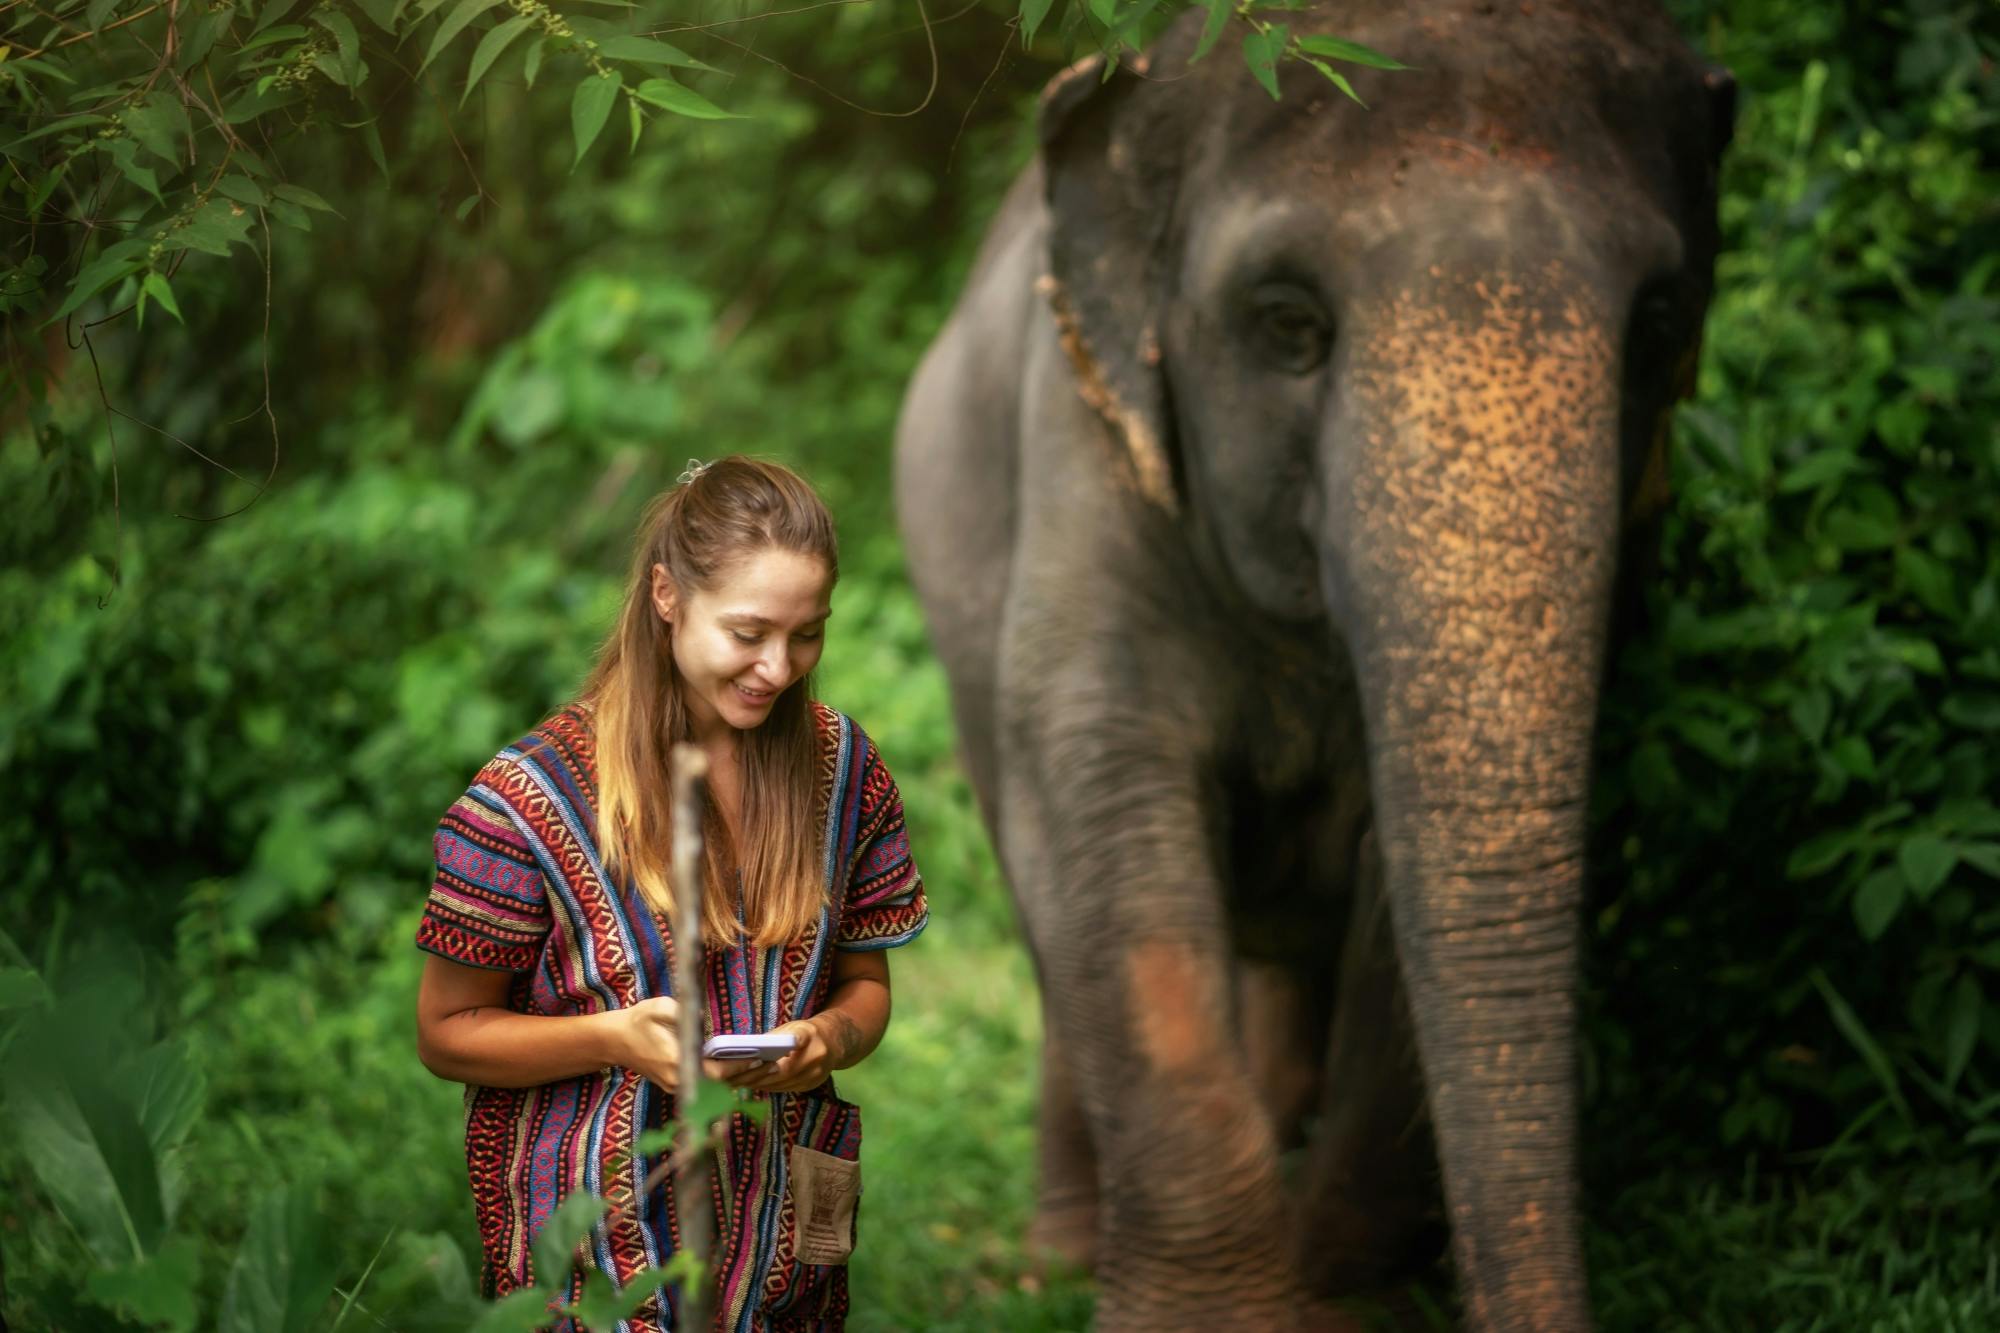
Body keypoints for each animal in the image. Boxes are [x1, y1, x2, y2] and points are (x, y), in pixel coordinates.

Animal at [894, 3, 1734, 1329]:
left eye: (1657, 327)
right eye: (1285, 322)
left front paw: (1343, 1292)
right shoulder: (1091, 456)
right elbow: (1105, 819)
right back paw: (1056, 1257)